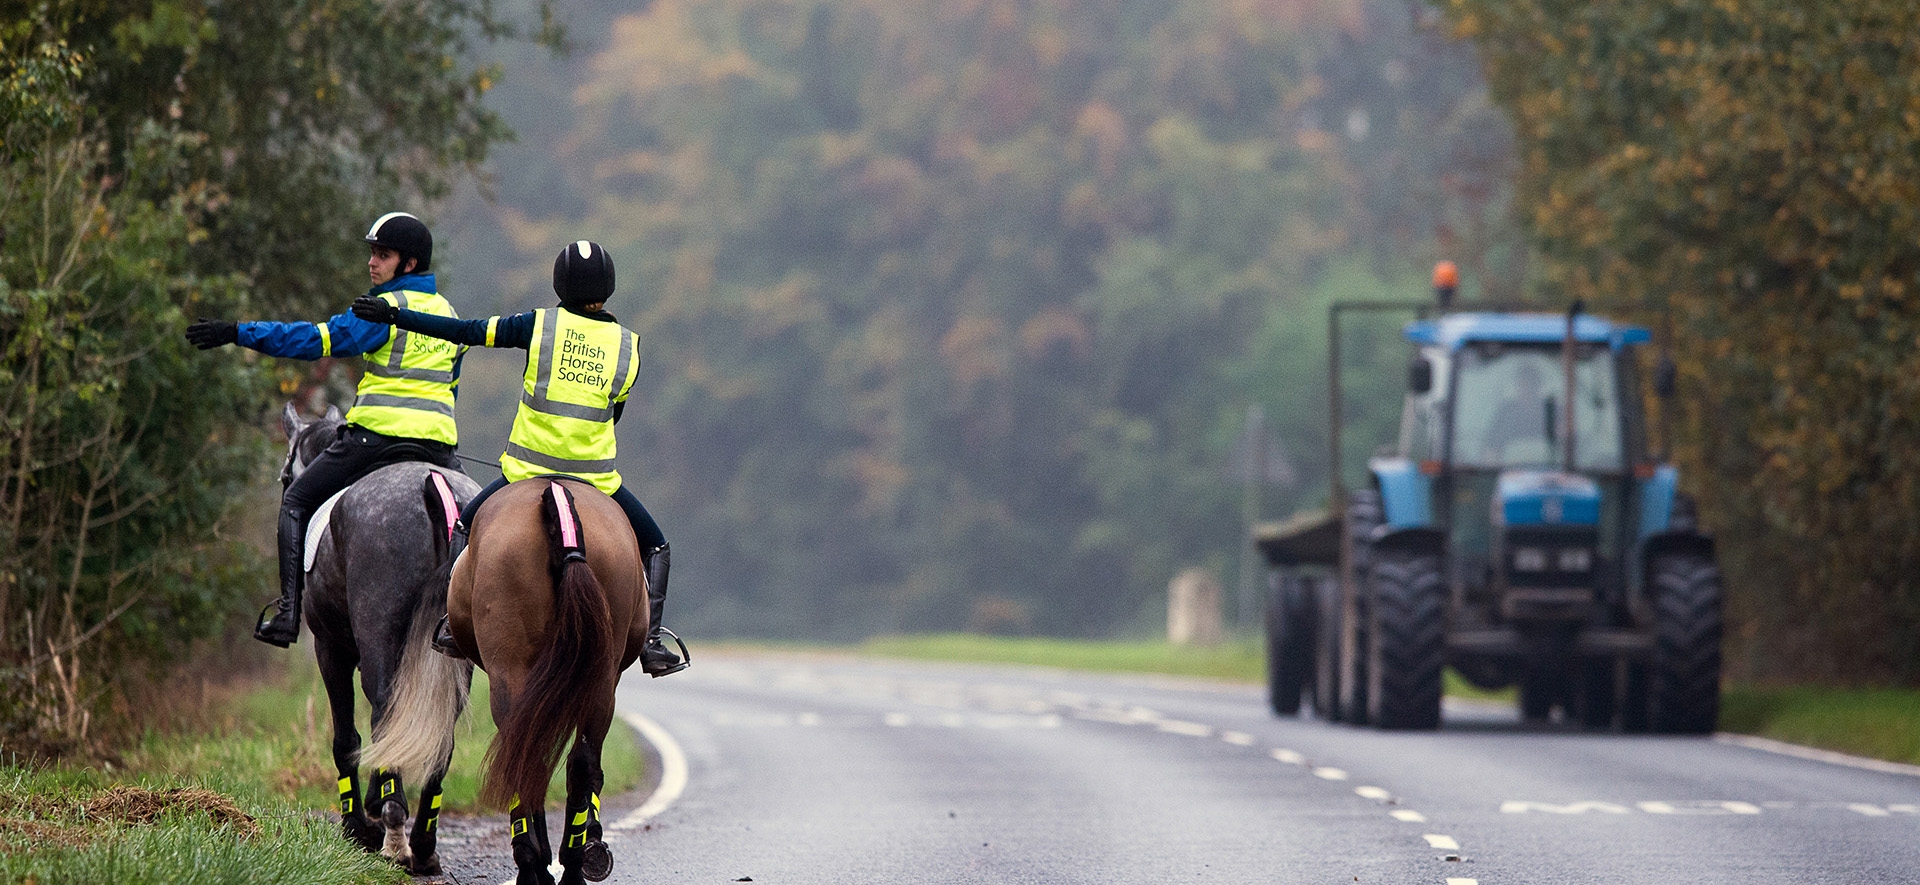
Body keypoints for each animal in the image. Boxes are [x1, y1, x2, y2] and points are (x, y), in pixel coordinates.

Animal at [279, 402, 480, 874]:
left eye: (284, 479)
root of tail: (436, 488)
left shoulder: (330, 648)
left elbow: (347, 738)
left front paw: (358, 824)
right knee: (439, 729)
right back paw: (423, 844)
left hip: (376, 635)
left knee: (385, 707)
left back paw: (392, 829)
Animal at [361, 476, 649, 885]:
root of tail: (559, 500)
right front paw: (589, 844)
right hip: (597, 680)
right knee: (569, 764)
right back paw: (568, 865)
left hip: (515, 673)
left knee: (528, 758)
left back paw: (537, 865)